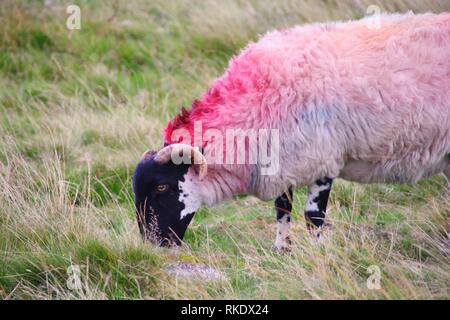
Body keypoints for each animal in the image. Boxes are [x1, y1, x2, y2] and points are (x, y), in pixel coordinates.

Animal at [133, 13, 450, 250]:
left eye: (161, 187)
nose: (154, 245)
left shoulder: (322, 157)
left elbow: (313, 217)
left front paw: (317, 255)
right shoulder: (282, 160)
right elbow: (282, 209)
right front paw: (282, 249)